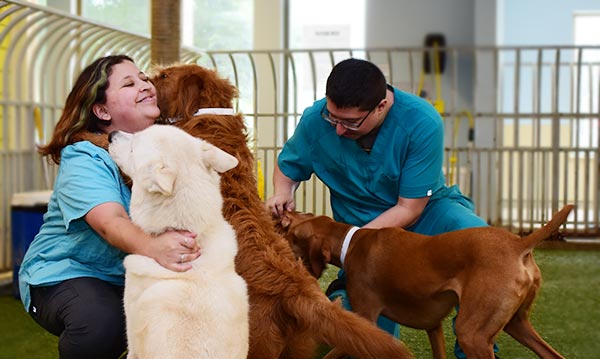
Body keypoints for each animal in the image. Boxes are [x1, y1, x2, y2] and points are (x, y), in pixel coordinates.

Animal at [276, 205, 572, 359]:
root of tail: (518, 244)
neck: (351, 241)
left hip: (472, 334)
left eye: (292, 236)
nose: (282, 218)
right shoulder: (433, 326)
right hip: (516, 324)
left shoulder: (365, 321)